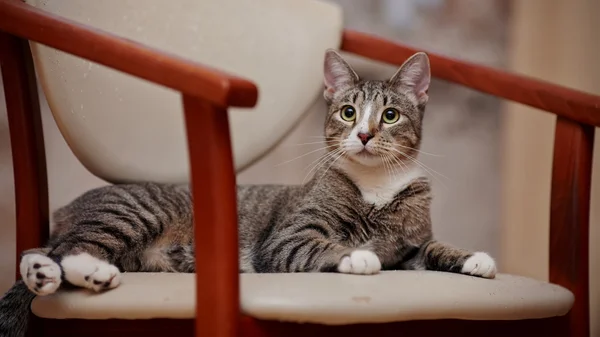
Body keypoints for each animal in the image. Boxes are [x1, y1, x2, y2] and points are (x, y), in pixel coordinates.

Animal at [0, 50, 496, 336]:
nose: (365, 135)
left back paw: (66, 274)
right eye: (348, 112)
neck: (375, 187)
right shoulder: (289, 237)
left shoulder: (410, 245)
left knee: (46, 252)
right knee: (58, 249)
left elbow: (435, 247)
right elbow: (323, 246)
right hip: (133, 213)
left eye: (390, 116)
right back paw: (72, 271)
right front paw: (357, 256)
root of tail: (69, 206)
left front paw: (474, 258)